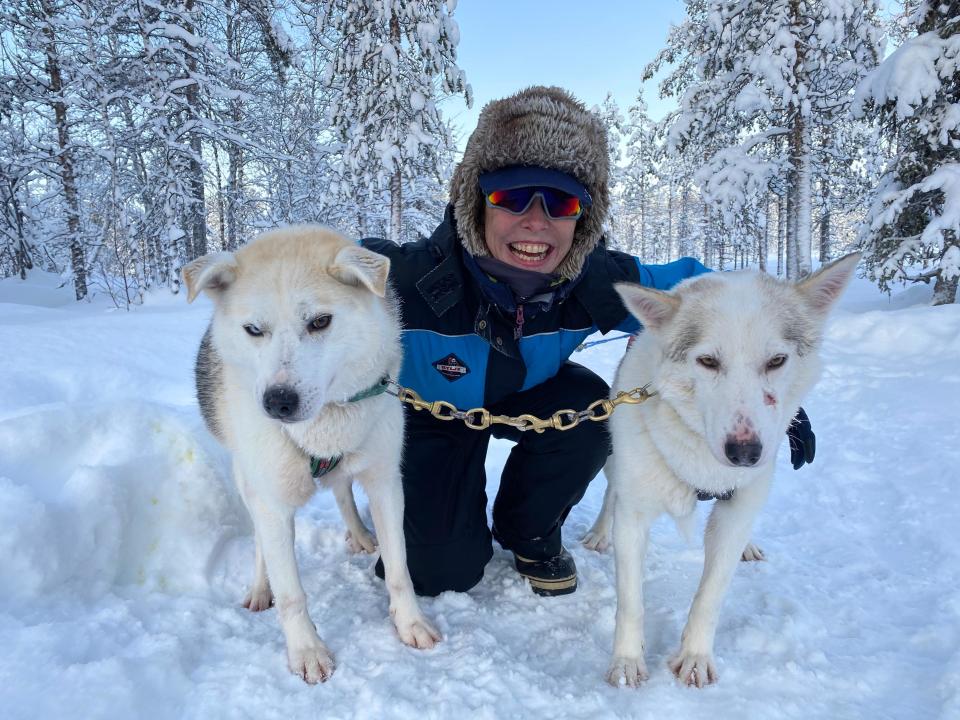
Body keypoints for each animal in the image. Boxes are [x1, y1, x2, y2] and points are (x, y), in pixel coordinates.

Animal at [182, 226, 440, 688]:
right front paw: (306, 650)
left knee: (341, 491)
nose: (278, 402)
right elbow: (291, 594)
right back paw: (260, 587)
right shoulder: (272, 500)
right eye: (253, 329)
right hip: (249, 480)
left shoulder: (385, 482)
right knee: (262, 542)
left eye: (320, 322)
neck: (324, 423)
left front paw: (410, 622)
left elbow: (399, 567)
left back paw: (358, 533)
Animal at [588, 253, 860, 688]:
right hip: (616, 461)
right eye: (708, 361)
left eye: (777, 361)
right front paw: (627, 662)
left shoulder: (738, 507)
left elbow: (710, 594)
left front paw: (695, 656)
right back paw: (599, 532)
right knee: (611, 493)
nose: (745, 452)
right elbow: (631, 601)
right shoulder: (634, 514)